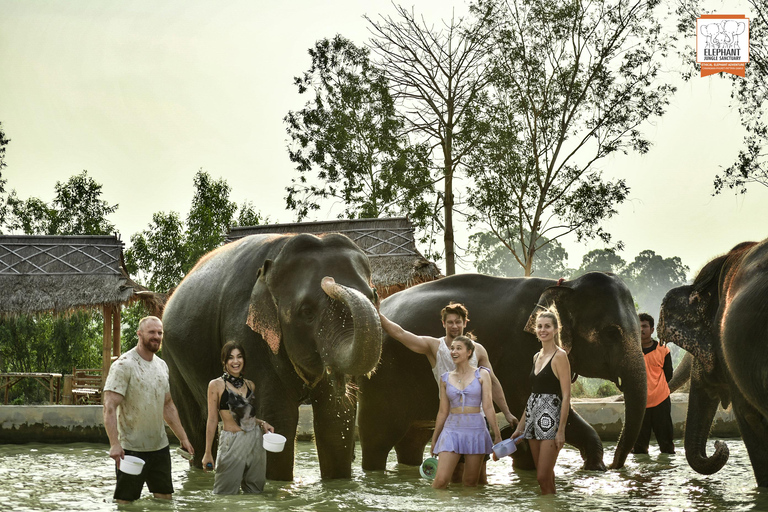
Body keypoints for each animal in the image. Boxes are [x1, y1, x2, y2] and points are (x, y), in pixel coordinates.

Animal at [161, 232, 380, 480]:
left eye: (374, 296)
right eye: (306, 311)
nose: (329, 280)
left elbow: (335, 420)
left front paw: (338, 483)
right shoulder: (246, 333)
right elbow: (278, 417)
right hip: (173, 358)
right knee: (197, 425)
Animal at [360, 272, 648, 472]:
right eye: (611, 333)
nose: (615, 466)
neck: (563, 284)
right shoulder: (520, 352)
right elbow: (525, 401)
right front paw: (595, 468)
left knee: (412, 440)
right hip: (380, 381)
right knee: (377, 439)